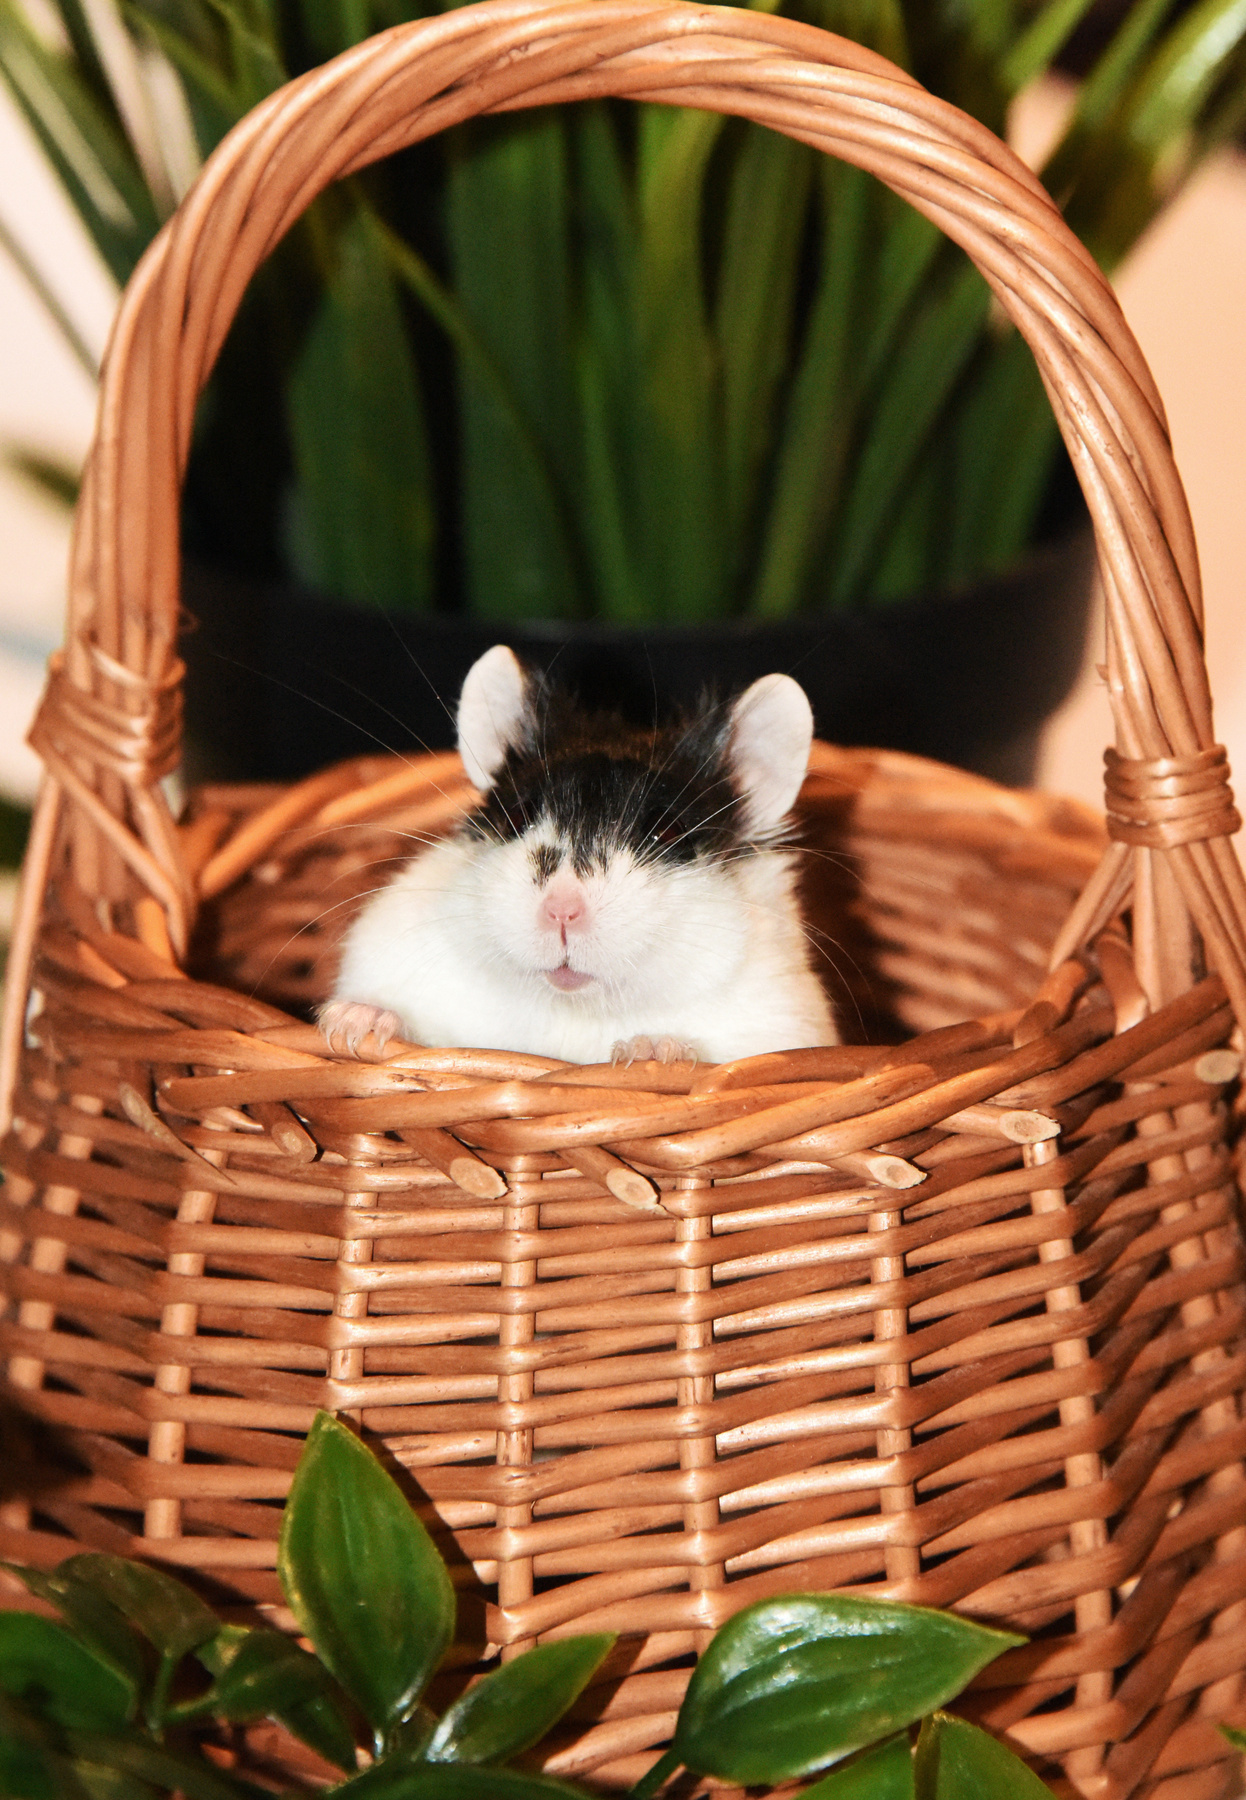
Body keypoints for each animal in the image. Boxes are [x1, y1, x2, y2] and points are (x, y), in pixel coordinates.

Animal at [318, 645, 838, 1064]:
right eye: (518, 816)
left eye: (667, 832)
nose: (561, 912)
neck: (572, 1005)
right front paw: (351, 1025)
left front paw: (654, 1053)